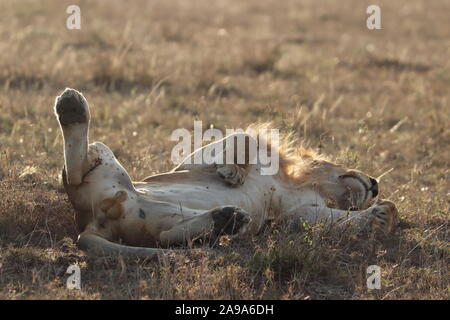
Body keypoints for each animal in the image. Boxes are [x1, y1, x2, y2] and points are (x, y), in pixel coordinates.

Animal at [54, 87, 400, 258]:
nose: (376, 184)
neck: (296, 184)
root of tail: (90, 220)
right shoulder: (193, 162)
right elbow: (242, 138)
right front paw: (233, 172)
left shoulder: (301, 213)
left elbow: (328, 220)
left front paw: (383, 216)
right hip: (103, 160)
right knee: (75, 170)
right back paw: (72, 107)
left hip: (151, 221)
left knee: (167, 236)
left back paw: (227, 219)